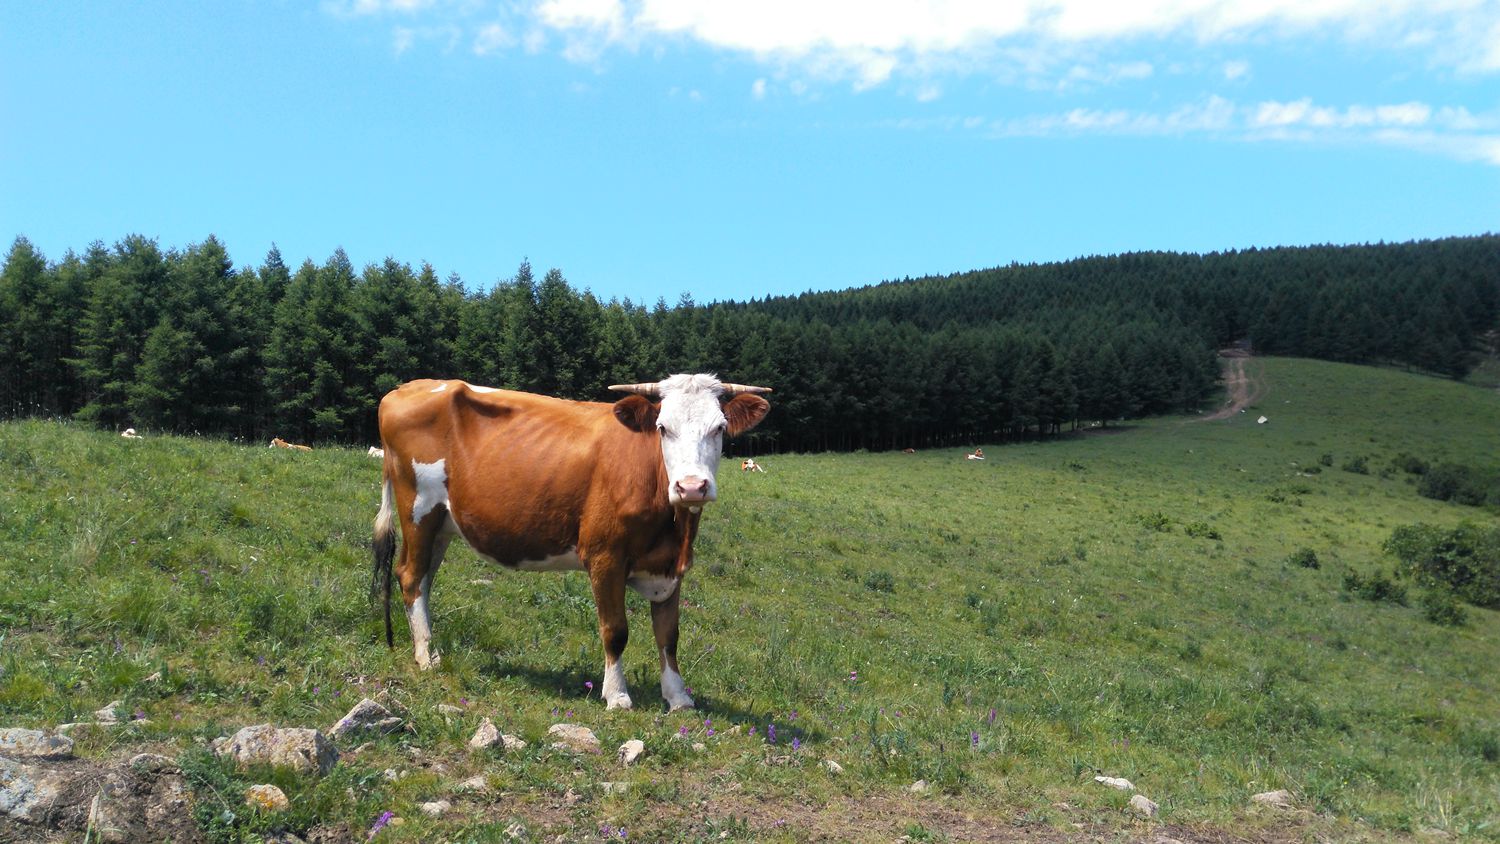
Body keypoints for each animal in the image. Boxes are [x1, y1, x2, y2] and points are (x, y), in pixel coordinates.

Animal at [372, 373, 774, 710]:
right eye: (663, 428)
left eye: (719, 428)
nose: (691, 486)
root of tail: (404, 388)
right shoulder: (604, 556)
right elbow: (615, 630)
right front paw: (617, 695)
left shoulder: (671, 567)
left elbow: (669, 635)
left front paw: (678, 697)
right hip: (418, 509)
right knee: (410, 576)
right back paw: (425, 657)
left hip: (441, 523)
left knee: (423, 580)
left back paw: (431, 649)